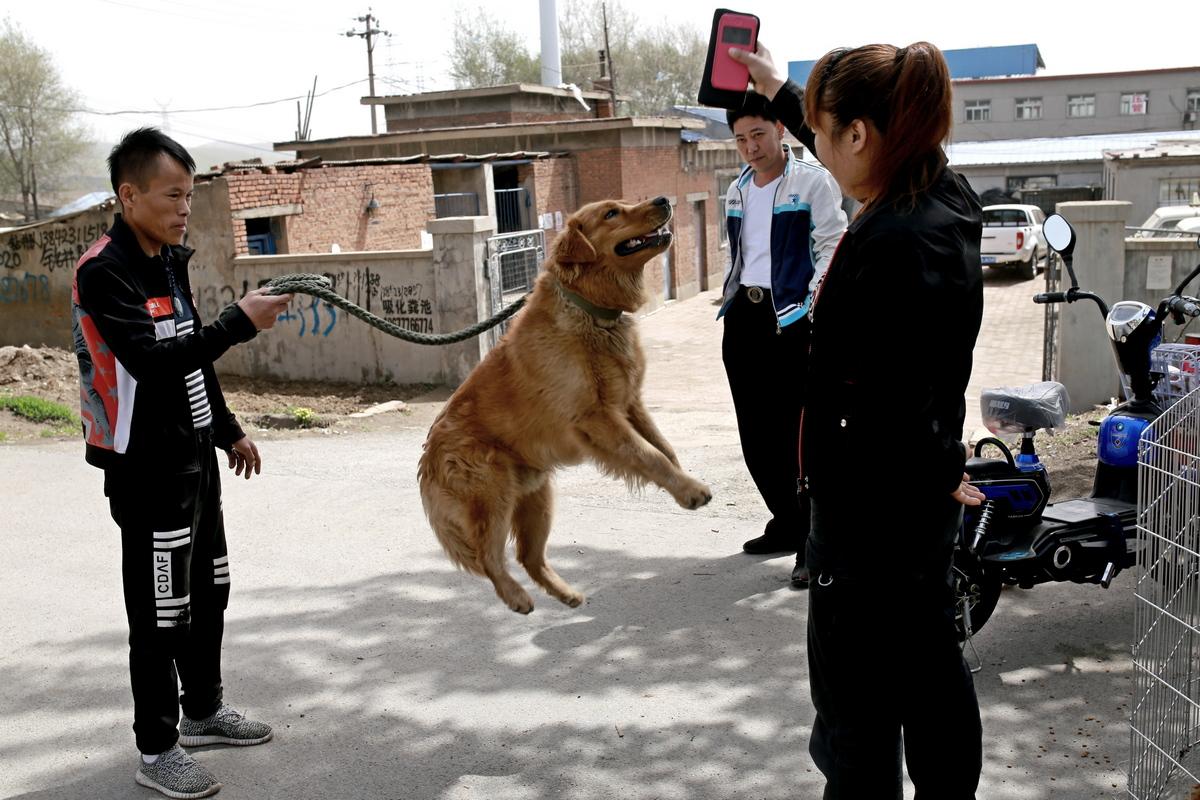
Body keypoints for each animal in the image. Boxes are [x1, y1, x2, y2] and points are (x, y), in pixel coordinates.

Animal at [417, 195, 705, 614]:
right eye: (612, 213)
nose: (663, 199)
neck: (590, 311)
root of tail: (428, 458)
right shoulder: (597, 418)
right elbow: (649, 455)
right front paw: (691, 491)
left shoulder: (630, 404)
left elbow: (664, 450)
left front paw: (684, 483)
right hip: (493, 496)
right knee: (490, 558)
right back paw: (516, 596)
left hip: (538, 500)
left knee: (528, 557)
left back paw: (565, 593)